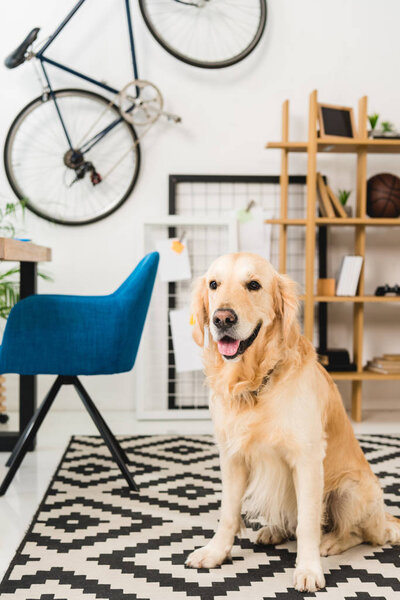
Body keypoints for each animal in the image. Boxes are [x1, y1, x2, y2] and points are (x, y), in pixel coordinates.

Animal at [185, 252, 400, 592]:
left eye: (254, 285)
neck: (255, 384)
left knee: (359, 533)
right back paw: (273, 530)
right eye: (214, 284)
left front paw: (308, 569)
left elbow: (309, 524)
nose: (222, 319)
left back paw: (331, 542)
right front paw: (216, 552)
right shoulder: (232, 457)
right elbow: (228, 514)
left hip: (350, 488)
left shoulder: (308, 460)